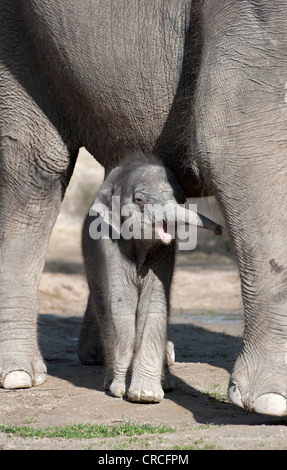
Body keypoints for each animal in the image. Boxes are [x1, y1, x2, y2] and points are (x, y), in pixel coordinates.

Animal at [79, 155, 223, 404]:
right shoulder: (108, 241)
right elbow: (122, 302)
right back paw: (110, 380)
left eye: (181, 199)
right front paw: (119, 389)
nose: (220, 229)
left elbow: (154, 301)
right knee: (104, 311)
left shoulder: (165, 250)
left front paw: (144, 395)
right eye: (139, 200)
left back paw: (165, 382)